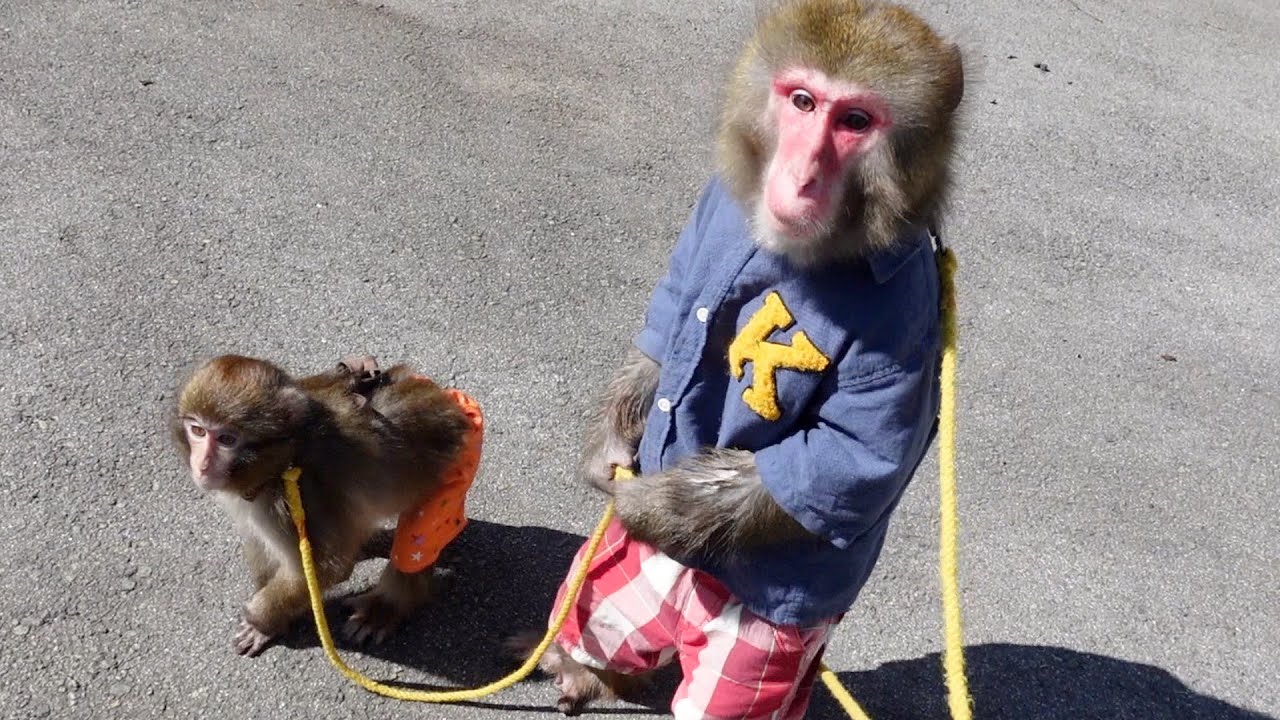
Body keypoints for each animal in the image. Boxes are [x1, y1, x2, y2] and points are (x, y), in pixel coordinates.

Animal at [172, 354, 479, 656]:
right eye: (198, 430)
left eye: (227, 439)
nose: (202, 464)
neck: (283, 459)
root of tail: (446, 399)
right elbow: (259, 541)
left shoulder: (301, 498)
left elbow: (326, 568)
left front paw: (262, 620)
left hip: (454, 468)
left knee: (417, 542)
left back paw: (386, 606)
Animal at [524, 1, 964, 716]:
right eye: (803, 101)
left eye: (856, 121)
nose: (803, 175)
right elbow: (672, 315)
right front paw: (608, 453)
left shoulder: (906, 328)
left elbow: (839, 462)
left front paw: (644, 505)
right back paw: (582, 666)